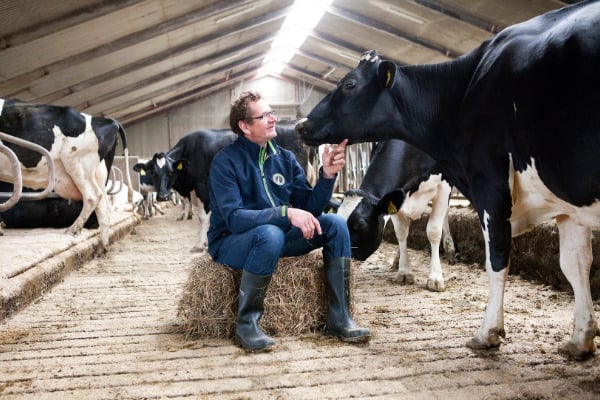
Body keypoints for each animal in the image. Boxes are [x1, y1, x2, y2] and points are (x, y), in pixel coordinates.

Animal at [0, 97, 132, 247]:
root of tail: (109, 121)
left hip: (78, 164)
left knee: (92, 196)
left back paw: (73, 229)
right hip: (97, 174)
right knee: (103, 208)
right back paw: (102, 246)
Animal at [134, 124, 312, 253]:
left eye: (170, 172)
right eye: (153, 173)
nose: (163, 196)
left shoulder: (203, 187)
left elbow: (203, 218)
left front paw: (200, 244)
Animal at [338, 140, 454, 290]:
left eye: (360, 224)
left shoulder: (444, 186)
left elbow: (433, 231)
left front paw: (435, 278)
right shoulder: (397, 198)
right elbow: (401, 233)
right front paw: (404, 272)